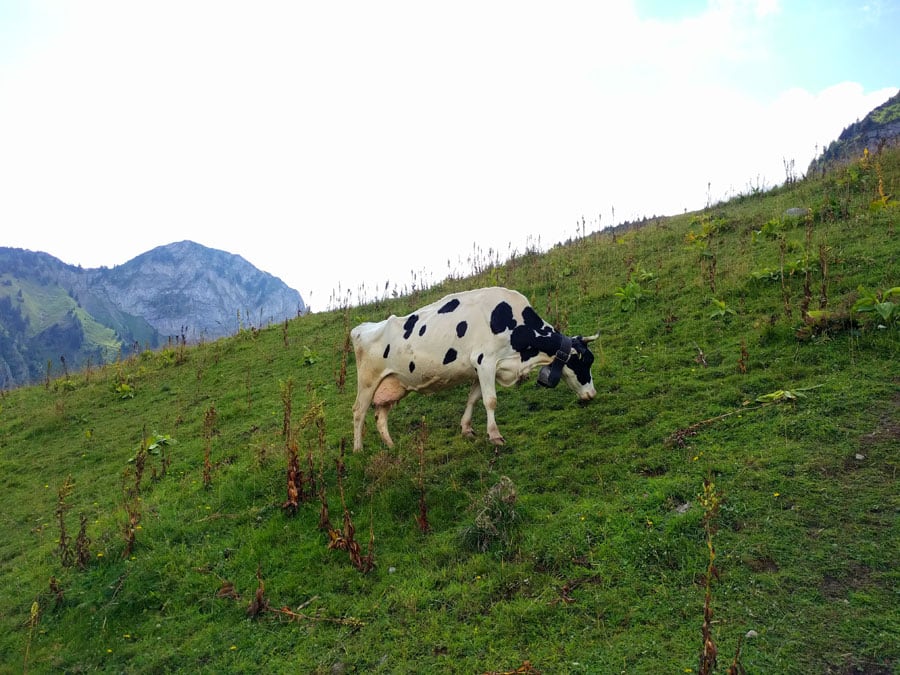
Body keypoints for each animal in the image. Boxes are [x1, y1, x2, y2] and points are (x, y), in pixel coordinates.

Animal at [351, 286, 598, 451]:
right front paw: (495, 435)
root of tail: (361, 328)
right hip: (367, 382)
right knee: (359, 412)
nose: (592, 394)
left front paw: (467, 429)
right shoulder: (485, 361)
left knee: (380, 416)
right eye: (585, 361)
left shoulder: (480, 369)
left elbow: (473, 399)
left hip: (392, 384)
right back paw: (358, 450)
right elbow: (490, 400)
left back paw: (391, 446)